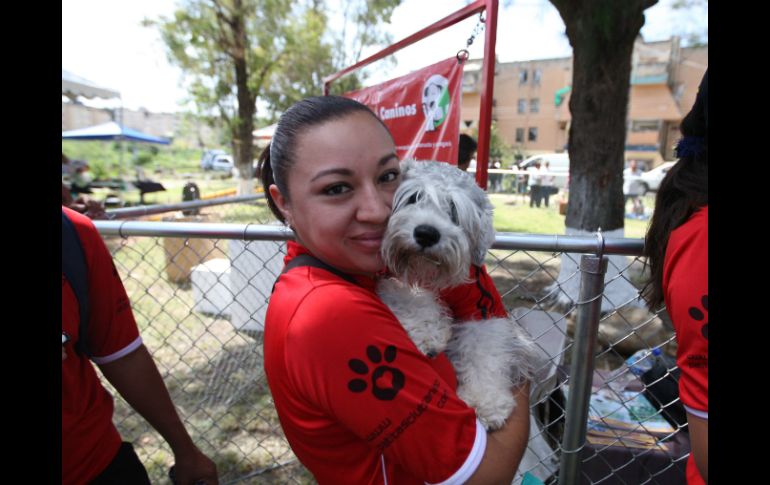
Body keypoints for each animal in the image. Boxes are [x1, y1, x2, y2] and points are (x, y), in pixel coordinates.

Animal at [378, 161, 540, 430]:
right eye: (413, 197)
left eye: (454, 209)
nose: (426, 233)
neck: (428, 273)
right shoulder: (385, 278)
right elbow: (407, 295)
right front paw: (427, 334)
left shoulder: (482, 308)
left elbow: (484, 349)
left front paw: (485, 401)